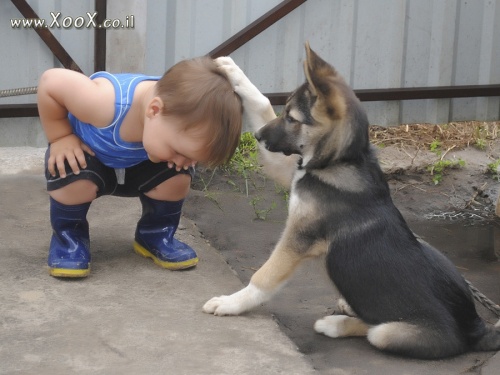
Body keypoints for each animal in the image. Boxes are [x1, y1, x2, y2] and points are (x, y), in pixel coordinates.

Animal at [204, 42, 500, 360]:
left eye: (292, 119)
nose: (258, 136)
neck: (339, 160)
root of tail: (475, 329)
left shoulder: (298, 238)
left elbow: (264, 277)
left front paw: (230, 303)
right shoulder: (289, 168)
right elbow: (261, 104)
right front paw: (231, 70)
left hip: (392, 333)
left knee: (375, 329)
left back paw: (335, 324)